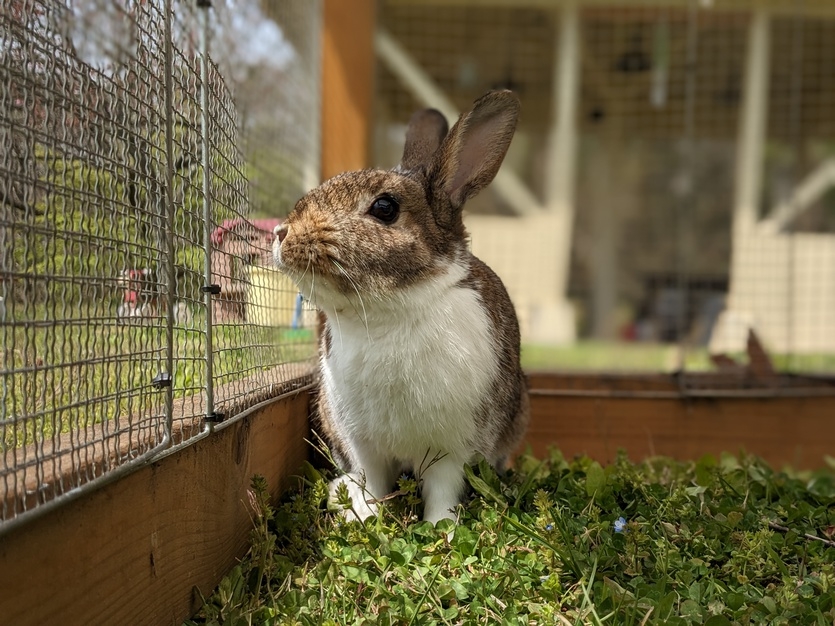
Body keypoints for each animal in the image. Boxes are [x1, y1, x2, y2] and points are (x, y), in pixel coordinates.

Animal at [274, 91, 528, 520]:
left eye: (384, 208)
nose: (281, 233)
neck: (388, 312)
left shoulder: (452, 451)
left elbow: (442, 493)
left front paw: (442, 527)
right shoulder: (363, 443)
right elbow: (373, 482)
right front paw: (364, 516)